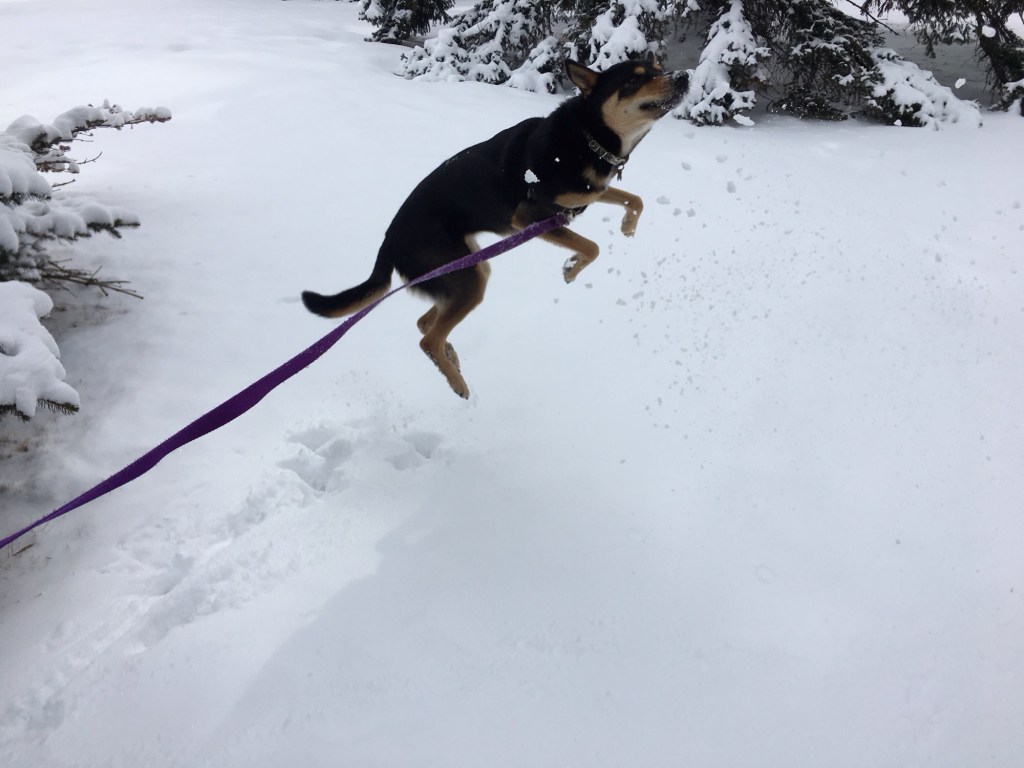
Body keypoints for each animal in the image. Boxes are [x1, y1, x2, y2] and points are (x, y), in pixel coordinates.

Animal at [302, 55, 689, 398]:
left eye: (658, 68)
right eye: (634, 80)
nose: (683, 76)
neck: (588, 136)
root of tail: (388, 241)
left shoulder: (588, 193)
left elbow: (634, 199)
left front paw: (628, 228)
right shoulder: (532, 216)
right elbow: (591, 246)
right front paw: (571, 268)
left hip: (469, 269)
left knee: (427, 324)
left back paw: (452, 359)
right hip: (466, 278)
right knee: (427, 338)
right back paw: (457, 383)